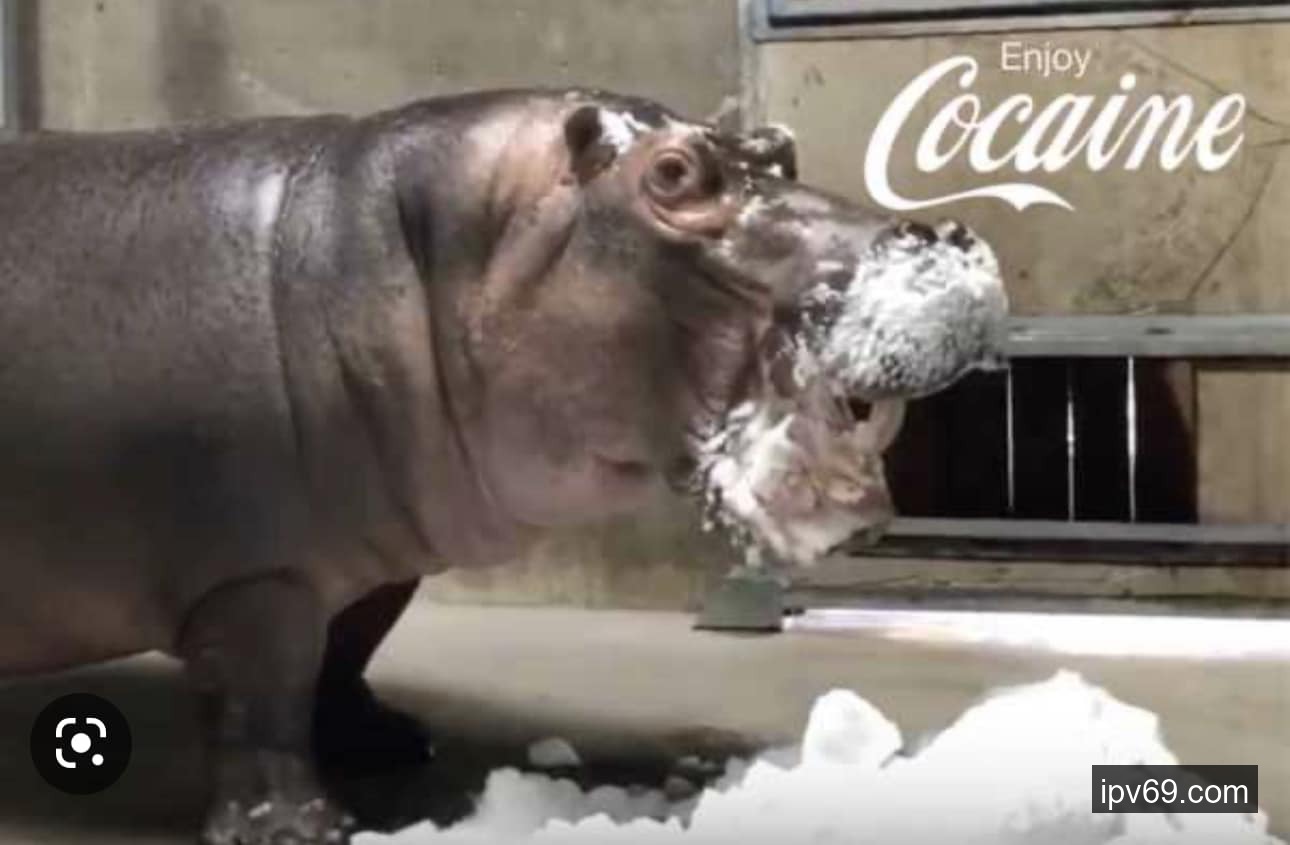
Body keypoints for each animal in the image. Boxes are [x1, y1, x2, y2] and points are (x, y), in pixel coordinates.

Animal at [0, 89, 1006, 843]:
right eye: (674, 173)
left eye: (779, 148)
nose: (940, 239)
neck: (384, 254)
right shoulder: (255, 573)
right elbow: (266, 692)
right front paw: (297, 828)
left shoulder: (373, 553)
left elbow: (348, 643)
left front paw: (388, 739)